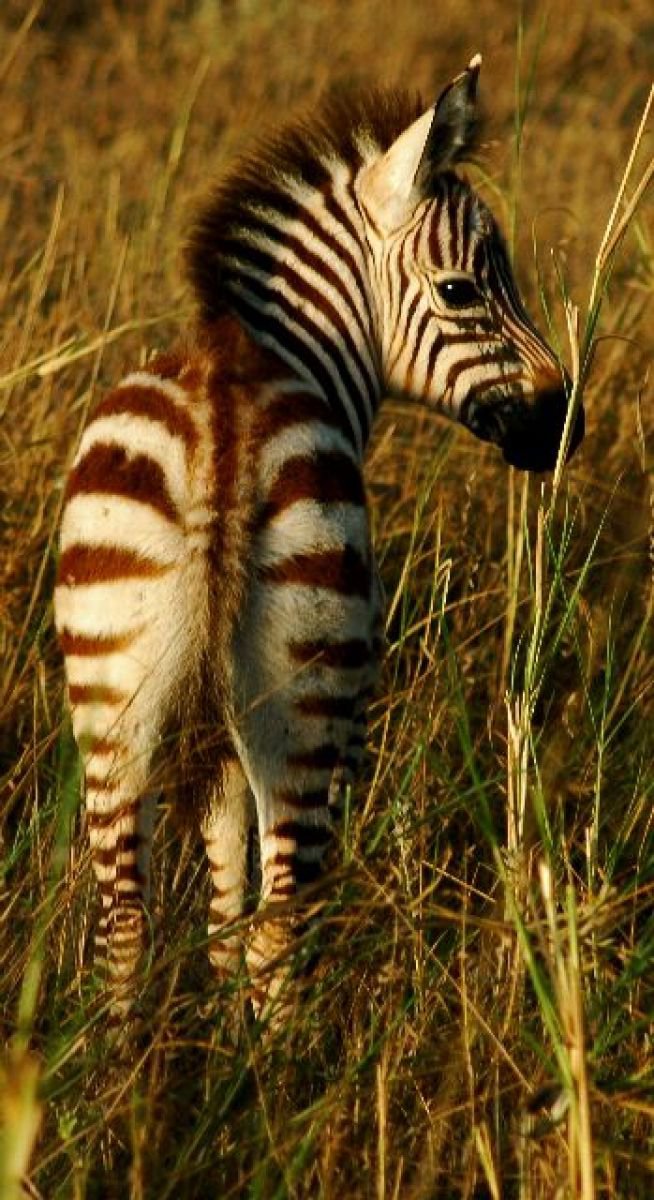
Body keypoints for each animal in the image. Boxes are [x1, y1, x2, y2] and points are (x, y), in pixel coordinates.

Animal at [54, 55, 584, 1029]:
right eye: (462, 289)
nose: (565, 425)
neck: (264, 347)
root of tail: (220, 430)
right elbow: (251, 902)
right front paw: (238, 1025)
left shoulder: (215, 724)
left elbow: (222, 882)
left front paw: (217, 1004)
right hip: (307, 700)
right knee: (284, 917)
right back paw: (283, 1062)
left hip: (111, 690)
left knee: (124, 926)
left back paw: (126, 1070)